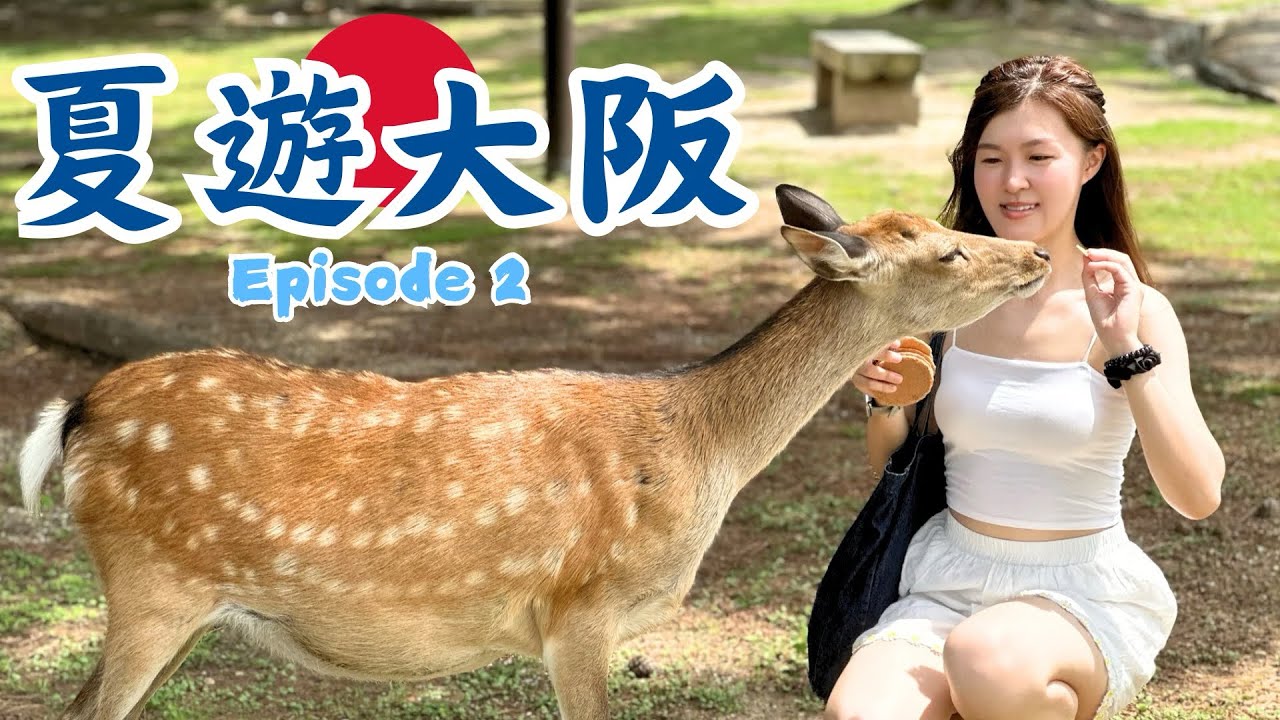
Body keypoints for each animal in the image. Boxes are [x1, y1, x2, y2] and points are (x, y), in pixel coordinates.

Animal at [18, 184, 1051, 720]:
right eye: (945, 252)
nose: (1037, 255)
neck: (698, 450)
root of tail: (73, 417)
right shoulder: (578, 608)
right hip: (151, 584)